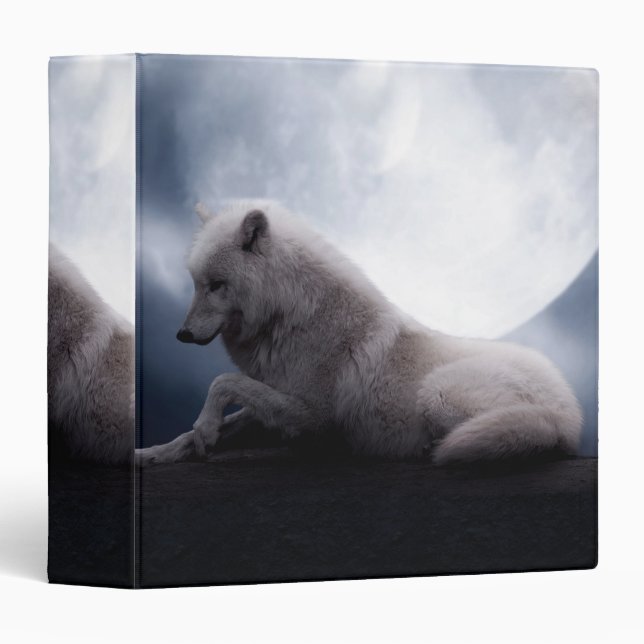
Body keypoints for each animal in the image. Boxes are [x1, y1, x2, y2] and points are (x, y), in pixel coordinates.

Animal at [137, 200, 582, 467]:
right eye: (195, 283)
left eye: (216, 285)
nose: (181, 334)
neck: (291, 315)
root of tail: (568, 413)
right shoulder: (278, 397)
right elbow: (208, 421)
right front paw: (157, 452)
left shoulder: (312, 416)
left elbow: (223, 382)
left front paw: (205, 428)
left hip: (436, 394)